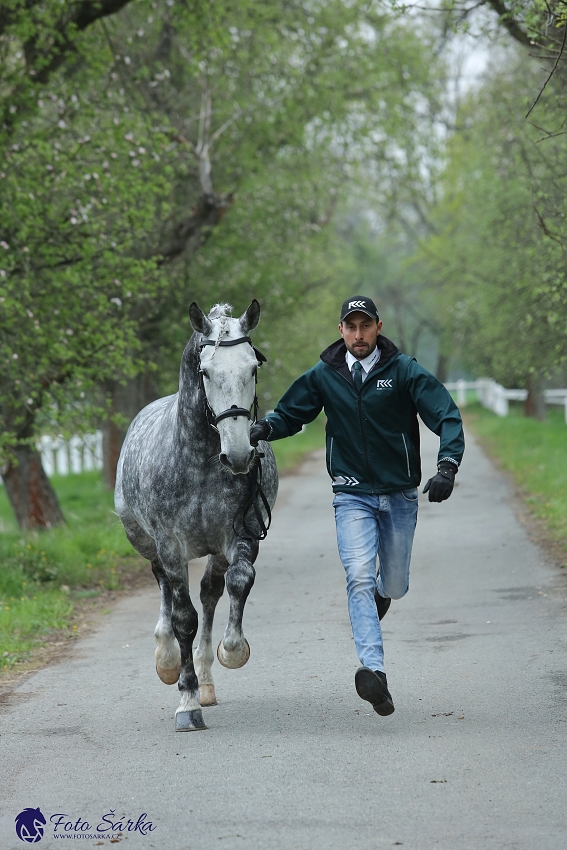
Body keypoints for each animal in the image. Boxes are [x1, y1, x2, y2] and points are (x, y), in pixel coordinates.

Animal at [114, 300, 278, 728]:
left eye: (253, 367)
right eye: (206, 372)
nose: (238, 455)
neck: (199, 460)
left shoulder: (241, 535)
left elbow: (238, 582)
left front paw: (232, 651)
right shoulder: (170, 545)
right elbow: (183, 618)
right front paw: (186, 703)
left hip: (214, 551)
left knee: (210, 593)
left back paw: (205, 679)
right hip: (146, 542)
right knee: (164, 589)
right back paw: (167, 658)